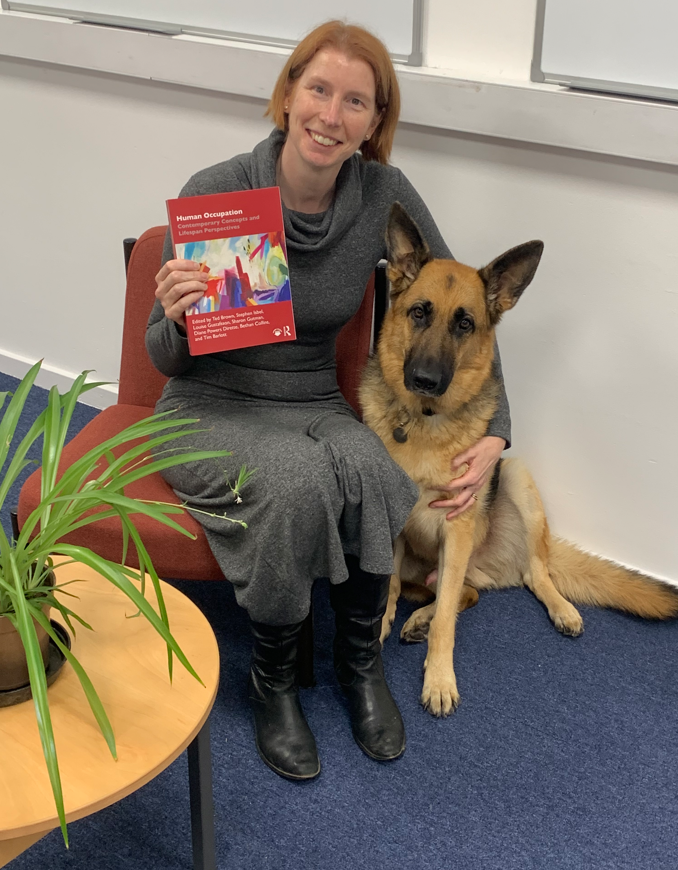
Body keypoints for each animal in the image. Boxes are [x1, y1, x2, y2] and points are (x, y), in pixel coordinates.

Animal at [362, 203, 678, 716]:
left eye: (464, 324)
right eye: (419, 313)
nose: (425, 380)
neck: (424, 420)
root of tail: (495, 566)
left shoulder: (457, 525)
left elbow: (448, 620)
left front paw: (439, 678)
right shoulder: (387, 523)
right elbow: (386, 587)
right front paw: (383, 626)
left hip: (514, 478)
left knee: (527, 575)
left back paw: (558, 608)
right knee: (464, 592)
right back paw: (417, 618)